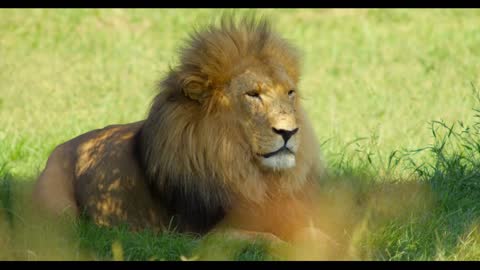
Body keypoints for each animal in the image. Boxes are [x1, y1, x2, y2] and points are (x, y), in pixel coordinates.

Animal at [32, 16, 334, 249]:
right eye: (253, 94)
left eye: (290, 93)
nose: (289, 132)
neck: (251, 175)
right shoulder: (198, 236)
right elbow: (266, 239)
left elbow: (315, 233)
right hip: (60, 213)